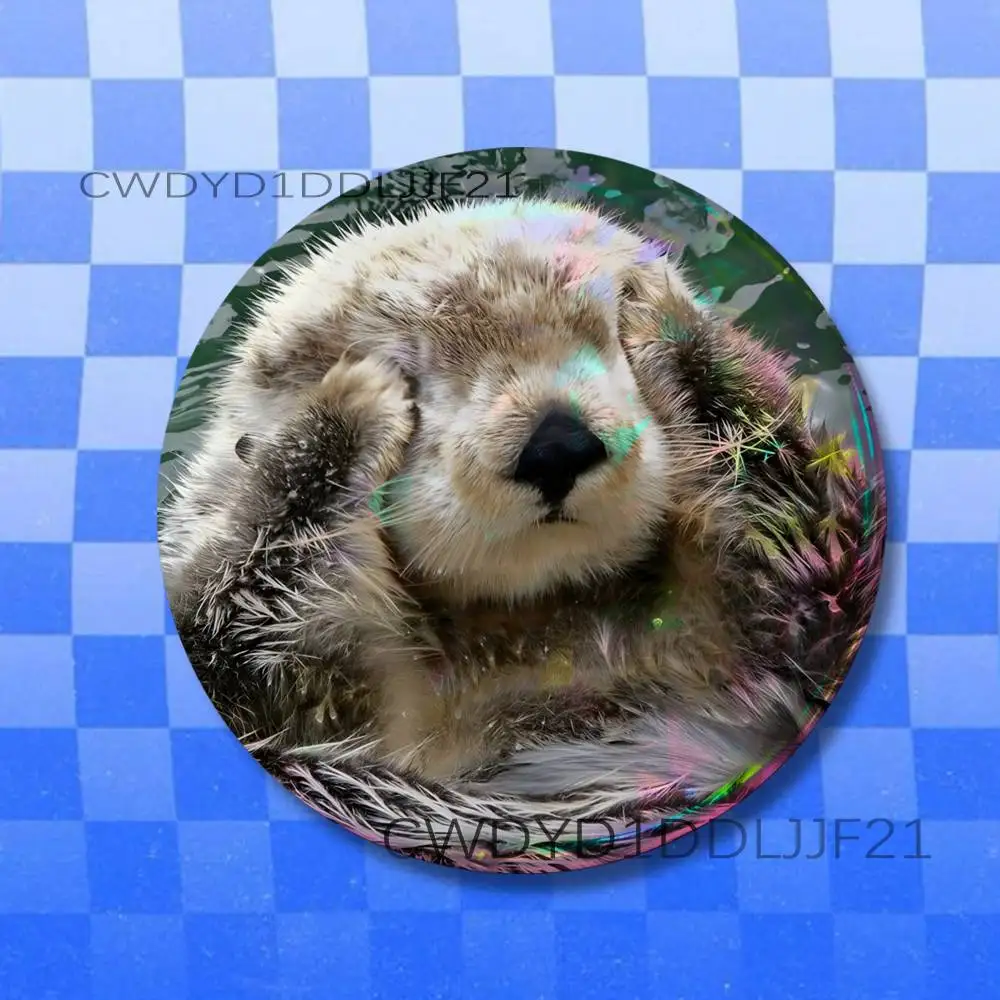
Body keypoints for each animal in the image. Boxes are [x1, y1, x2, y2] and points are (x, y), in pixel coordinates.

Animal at [159, 195, 885, 870]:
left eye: (603, 335)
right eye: (413, 371)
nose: (555, 446)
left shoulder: (811, 619)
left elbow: (819, 531)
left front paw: (664, 314)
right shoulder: (257, 697)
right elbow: (217, 612)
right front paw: (342, 410)